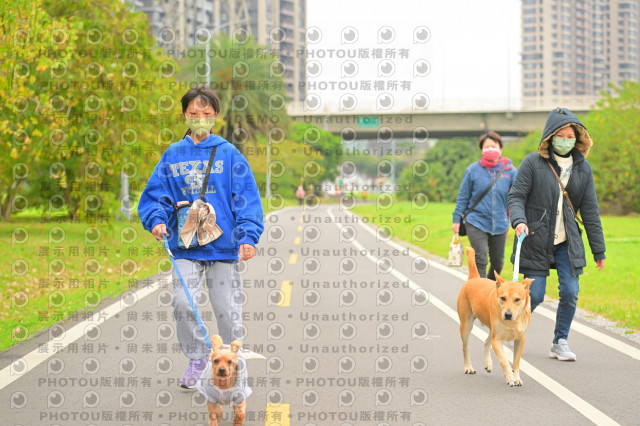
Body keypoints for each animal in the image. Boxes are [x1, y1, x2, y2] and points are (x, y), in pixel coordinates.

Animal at [456, 247, 533, 386]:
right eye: (503, 298)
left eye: (517, 299)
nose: (507, 315)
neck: (513, 321)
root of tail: (474, 278)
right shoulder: (497, 340)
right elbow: (504, 360)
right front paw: (510, 377)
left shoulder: (520, 339)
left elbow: (516, 361)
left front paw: (517, 377)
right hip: (466, 323)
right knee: (466, 346)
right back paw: (468, 367)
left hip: (492, 326)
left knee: (487, 341)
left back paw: (488, 363)